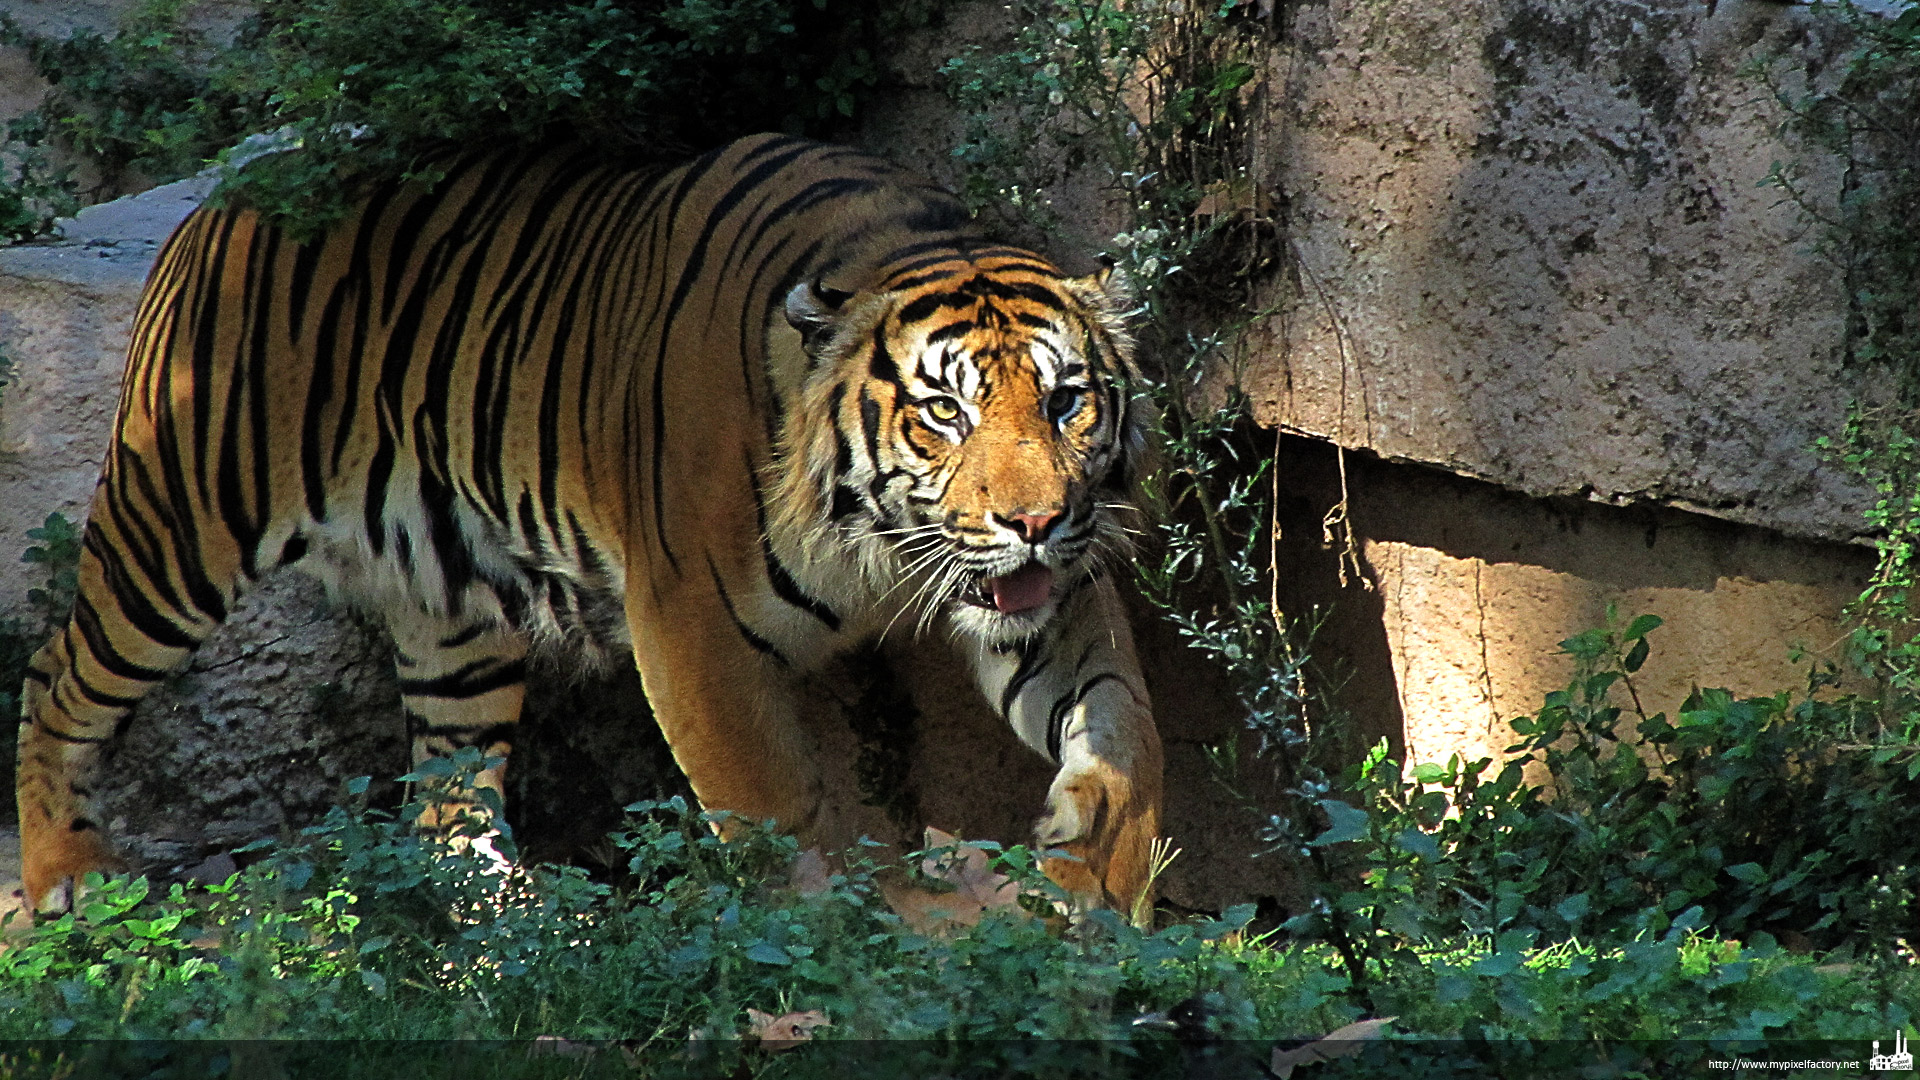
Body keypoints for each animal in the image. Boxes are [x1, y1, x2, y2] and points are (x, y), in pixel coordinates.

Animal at [15, 130, 1159, 910]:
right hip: (179, 528)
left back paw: (517, 936)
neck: (874, 541)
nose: (1034, 519)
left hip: (454, 623)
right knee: (55, 676)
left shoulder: (1052, 594)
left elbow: (1122, 727)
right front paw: (823, 941)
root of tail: (231, 190)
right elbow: (774, 813)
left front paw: (1094, 874)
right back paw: (65, 875)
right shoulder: (692, 624)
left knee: (445, 803)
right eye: (944, 412)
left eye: (1067, 401)